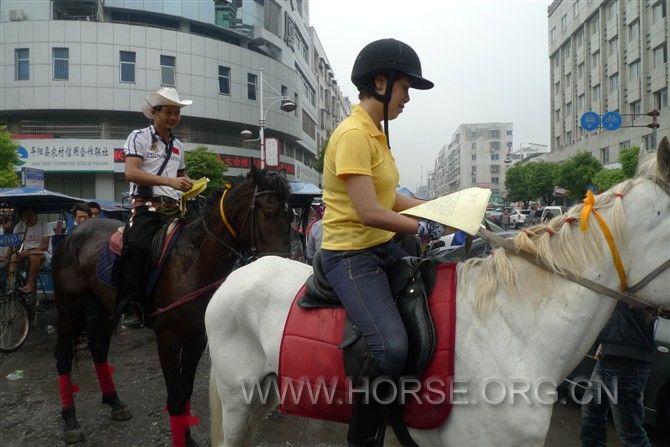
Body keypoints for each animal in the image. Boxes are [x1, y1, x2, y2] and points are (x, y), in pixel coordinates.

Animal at [51, 166, 292, 446]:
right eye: (269, 213)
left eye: (291, 215)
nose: (286, 263)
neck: (192, 262)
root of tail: (73, 234)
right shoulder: (168, 337)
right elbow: (176, 398)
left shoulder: (196, 337)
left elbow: (185, 391)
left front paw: (187, 437)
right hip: (69, 303)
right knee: (63, 356)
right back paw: (70, 420)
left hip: (106, 307)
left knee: (98, 347)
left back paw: (114, 402)